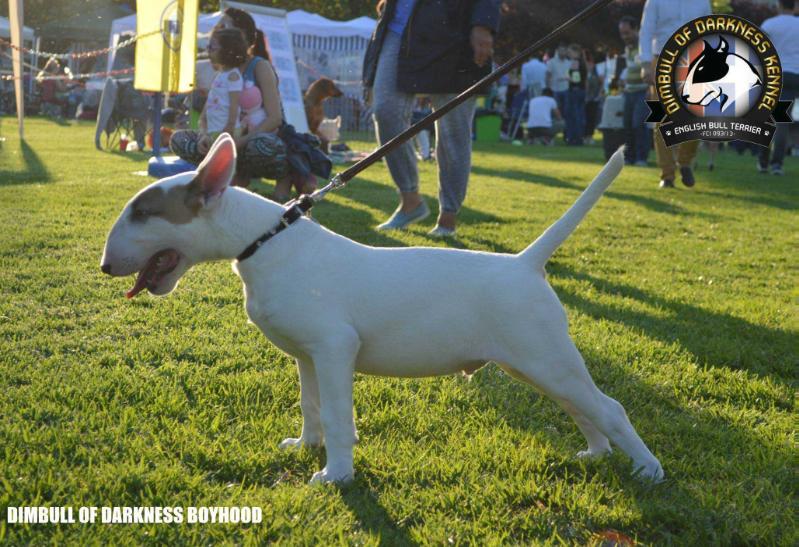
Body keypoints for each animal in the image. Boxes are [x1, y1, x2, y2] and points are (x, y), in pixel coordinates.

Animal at [103, 135, 664, 486]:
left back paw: (648, 470)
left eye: (143, 213)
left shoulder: (334, 349)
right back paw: (596, 453)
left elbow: (337, 413)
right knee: (582, 407)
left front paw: (335, 475)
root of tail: (525, 264)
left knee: (609, 407)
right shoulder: (307, 356)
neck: (266, 243)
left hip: (546, 357)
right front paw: (305, 446)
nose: (106, 266)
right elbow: (311, 405)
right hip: (533, 364)